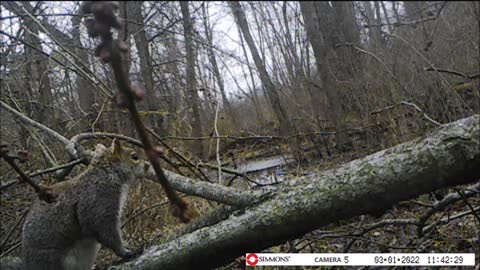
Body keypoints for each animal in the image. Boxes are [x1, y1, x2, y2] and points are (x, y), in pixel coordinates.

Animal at [4, 140, 146, 268]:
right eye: (134, 157)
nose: (147, 165)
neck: (105, 173)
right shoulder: (99, 200)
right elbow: (103, 229)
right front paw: (126, 252)